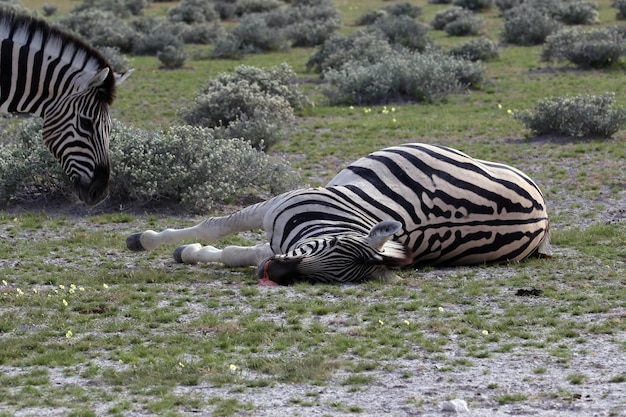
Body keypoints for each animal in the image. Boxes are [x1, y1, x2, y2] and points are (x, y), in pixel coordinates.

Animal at [125, 144, 544, 286]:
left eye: (327, 279)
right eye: (324, 247)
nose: (275, 274)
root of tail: (543, 222)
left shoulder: (276, 233)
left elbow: (232, 248)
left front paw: (183, 251)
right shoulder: (272, 208)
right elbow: (216, 227)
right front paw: (146, 241)